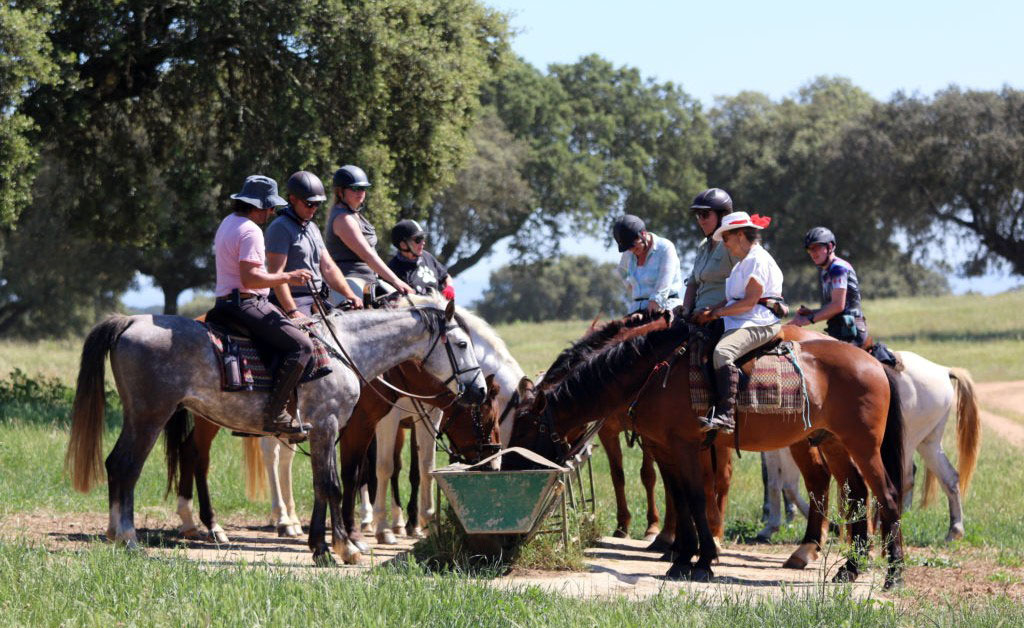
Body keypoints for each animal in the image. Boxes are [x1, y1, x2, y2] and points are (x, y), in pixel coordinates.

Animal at [66, 297, 485, 565]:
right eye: (462, 343)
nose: (478, 388)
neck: (343, 351)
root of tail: (131, 321)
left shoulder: (325, 431)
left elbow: (324, 485)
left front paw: (327, 546)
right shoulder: (329, 425)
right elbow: (334, 486)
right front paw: (340, 548)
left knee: (118, 464)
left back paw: (118, 534)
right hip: (150, 417)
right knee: (128, 466)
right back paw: (130, 538)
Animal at [507, 317, 909, 585]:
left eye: (526, 427)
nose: (511, 466)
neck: (653, 372)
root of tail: (872, 362)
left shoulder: (685, 446)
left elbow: (697, 497)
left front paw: (701, 560)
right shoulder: (666, 448)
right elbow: (681, 497)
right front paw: (683, 555)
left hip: (862, 446)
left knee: (885, 496)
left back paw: (892, 574)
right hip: (832, 441)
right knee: (854, 493)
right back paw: (849, 568)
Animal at [757, 348, 978, 545]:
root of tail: (943, 370)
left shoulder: (790, 447)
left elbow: (789, 487)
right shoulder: (773, 450)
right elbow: (775, 483)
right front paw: (771, 526)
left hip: (905, 442)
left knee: (903, 479)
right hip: (928, 443)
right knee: (949, 478)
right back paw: (953, 530)